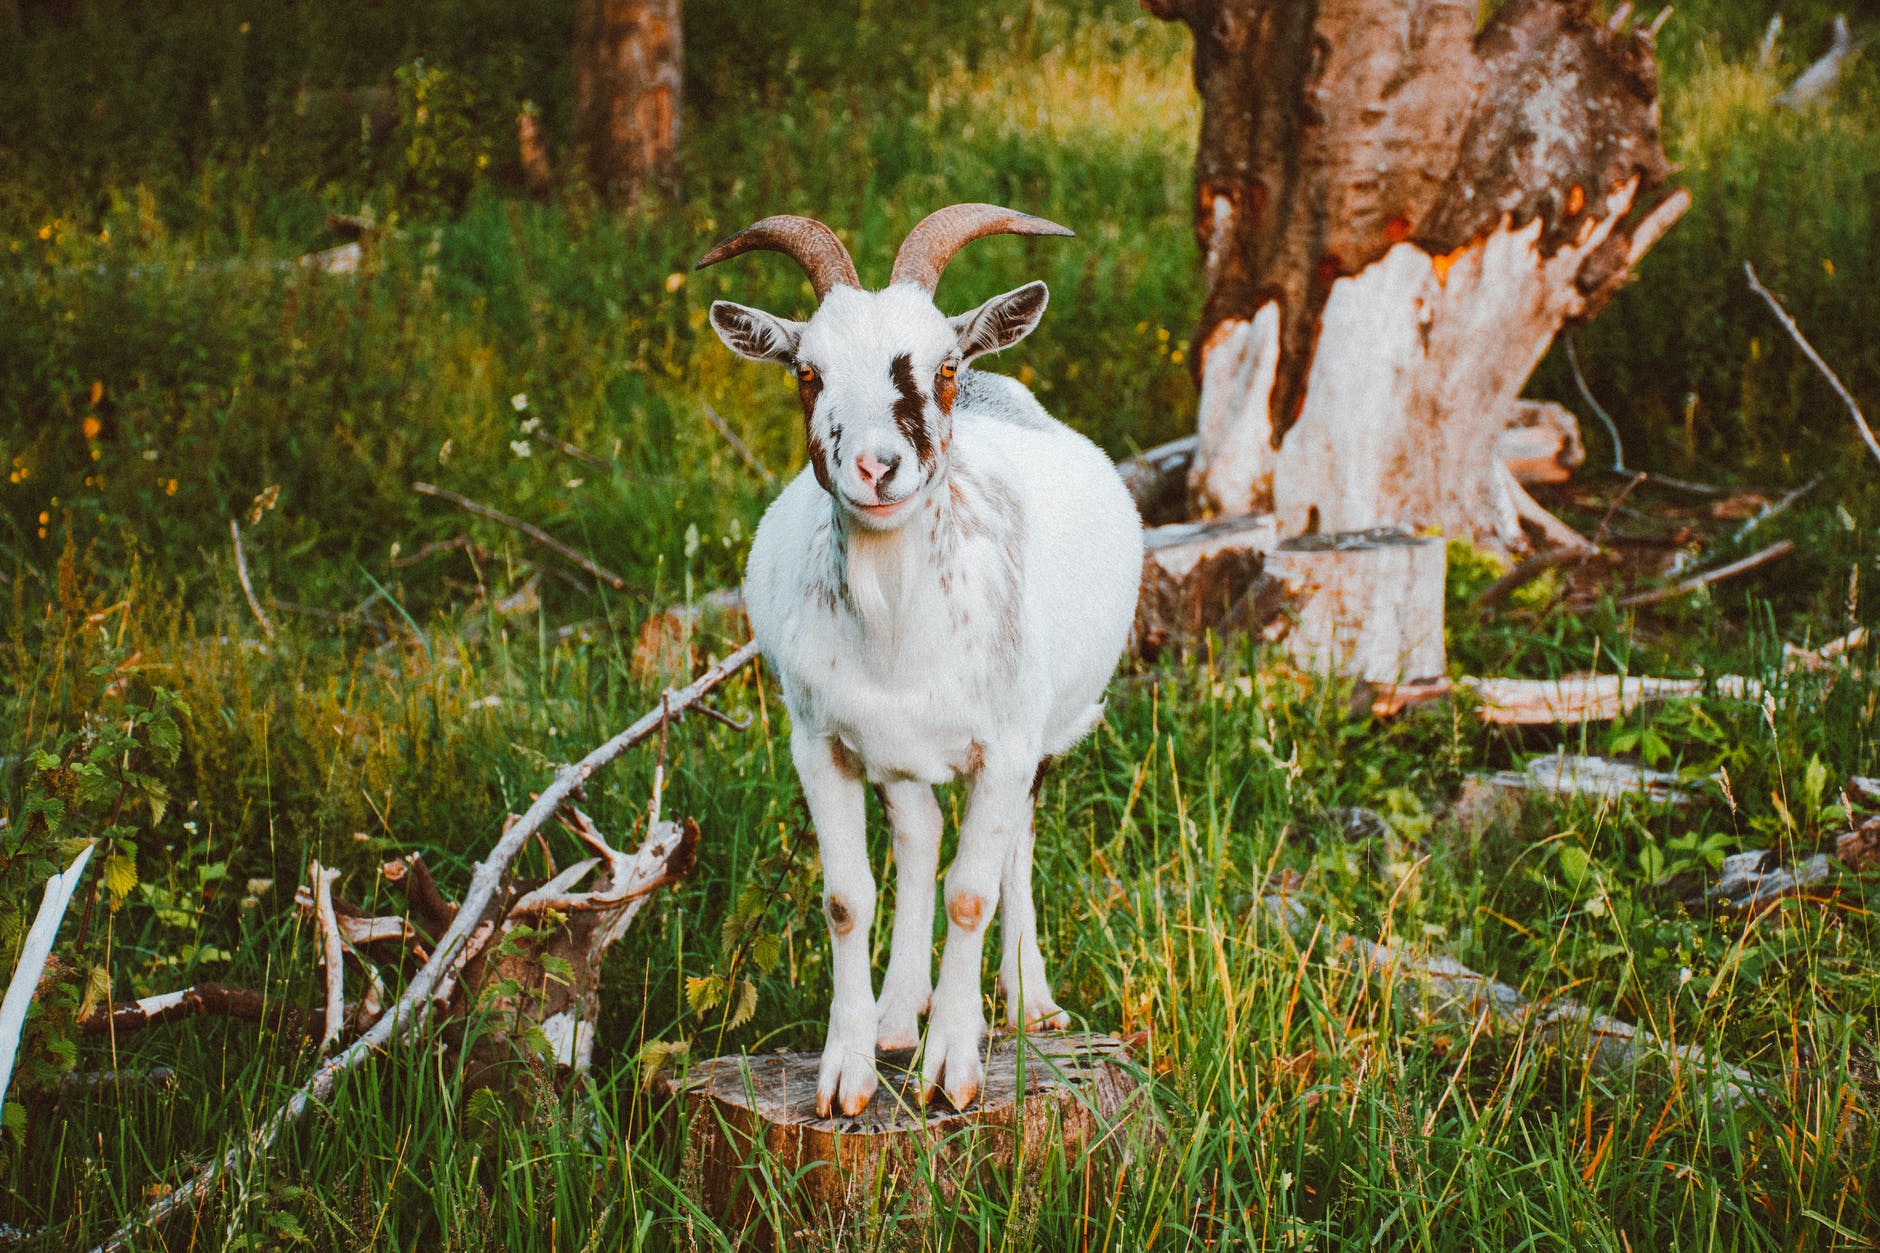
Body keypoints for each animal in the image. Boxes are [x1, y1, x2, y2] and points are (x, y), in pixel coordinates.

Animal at [697, 204, 1143, 1116]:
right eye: (806, 371)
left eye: (938, 365)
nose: (877, 465)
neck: (899, 633)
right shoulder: (819, 743)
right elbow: (845, 897)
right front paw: (849, 1070)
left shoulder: (1005, 743)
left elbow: (973, 889)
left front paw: (954, 1068)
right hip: (899, 755)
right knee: (918, 831)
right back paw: (901, 1011)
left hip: (1036, 735)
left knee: (1012, 847)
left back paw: (1027, 1002)